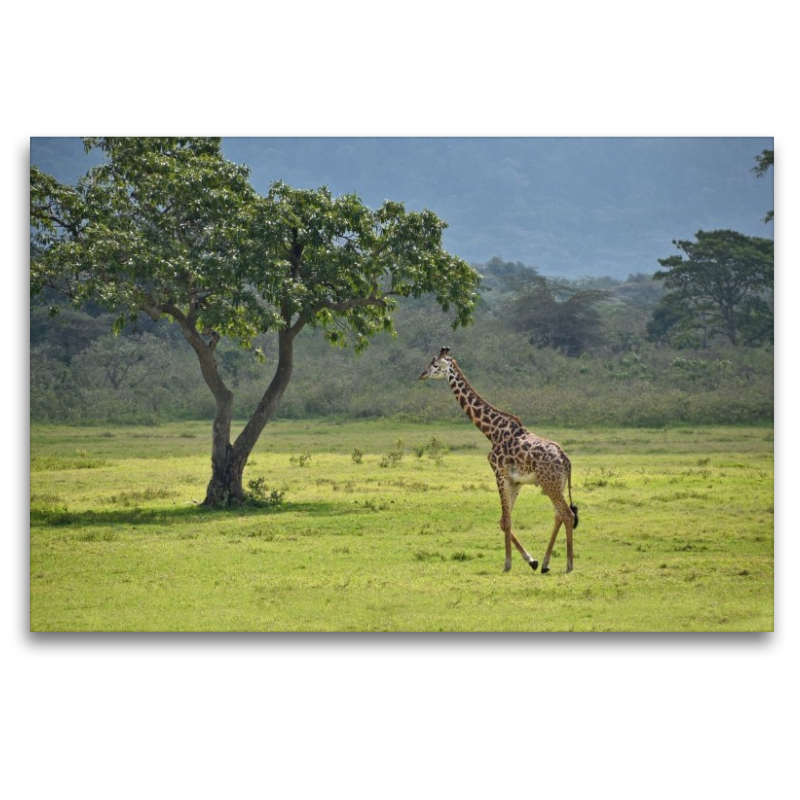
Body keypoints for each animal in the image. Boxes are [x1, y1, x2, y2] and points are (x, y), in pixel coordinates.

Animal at [419, 347, 579, 574]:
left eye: (435, 365)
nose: (422, 375)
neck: (491, 431)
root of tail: (566, 461)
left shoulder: (499, 473)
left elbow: (507, 521)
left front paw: (507, 564)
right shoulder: (516, 481)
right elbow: (504, 520)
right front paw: (532, 560)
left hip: (549, 483)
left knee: (568, 514)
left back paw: (569, 565)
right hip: (558, 483)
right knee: (559, 515)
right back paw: (546, 564)